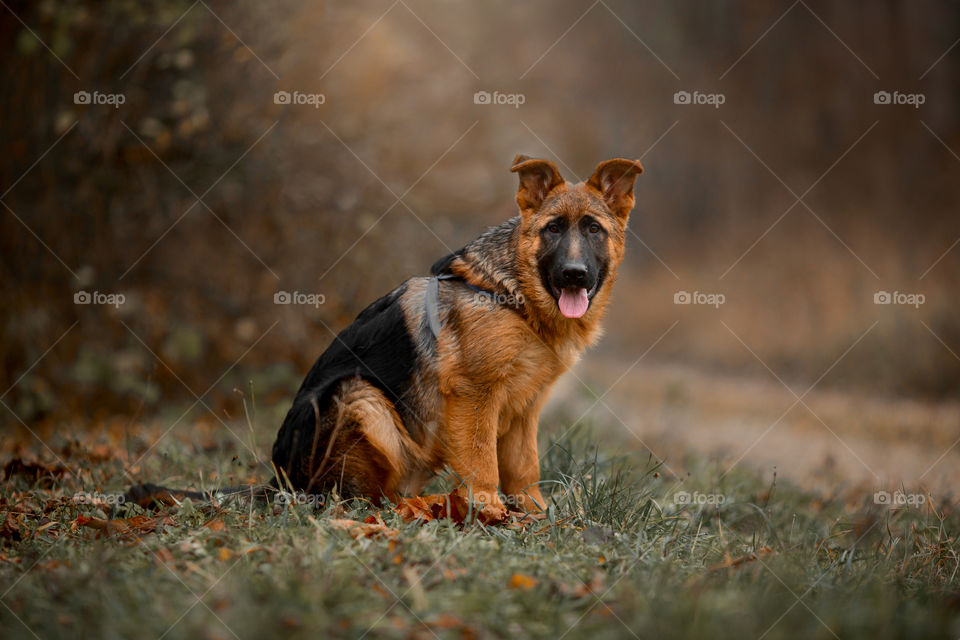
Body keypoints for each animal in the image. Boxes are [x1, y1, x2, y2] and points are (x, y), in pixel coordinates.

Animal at [270, 155, 640, 520]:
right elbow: (482, 460)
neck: (513, 298)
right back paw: (414, 509)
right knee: (359, 498)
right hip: (361, 397)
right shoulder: (475, 393)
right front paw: (488, 511)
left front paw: (535, 515)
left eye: (594, 229)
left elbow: (525, 467)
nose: (573, 274)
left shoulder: (526, 407)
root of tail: (277, 484)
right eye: (553, 228)